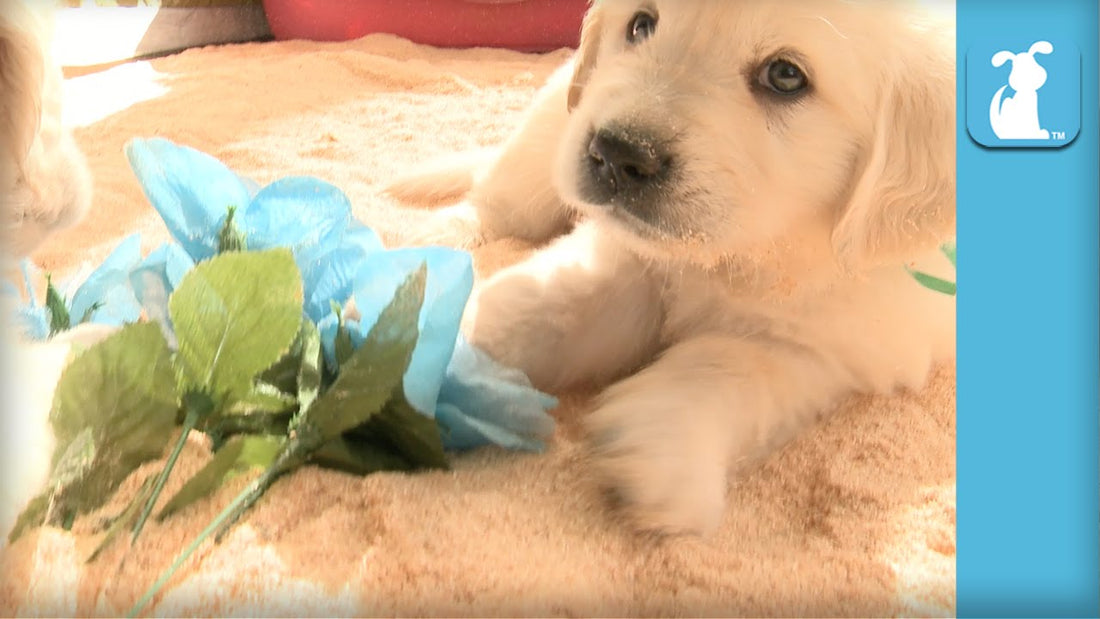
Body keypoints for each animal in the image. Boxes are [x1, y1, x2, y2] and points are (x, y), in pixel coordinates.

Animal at [387, 0, 954, 534]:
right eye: (641, 24)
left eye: (786, 76)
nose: (619, 153)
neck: (744, 254)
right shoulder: (627, 257)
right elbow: (545, 304)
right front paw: (443, 339)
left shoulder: (836, 348)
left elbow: (729, 365)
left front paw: (661, 449)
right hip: (550, 130)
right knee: (499, 199)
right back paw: (437, 236)